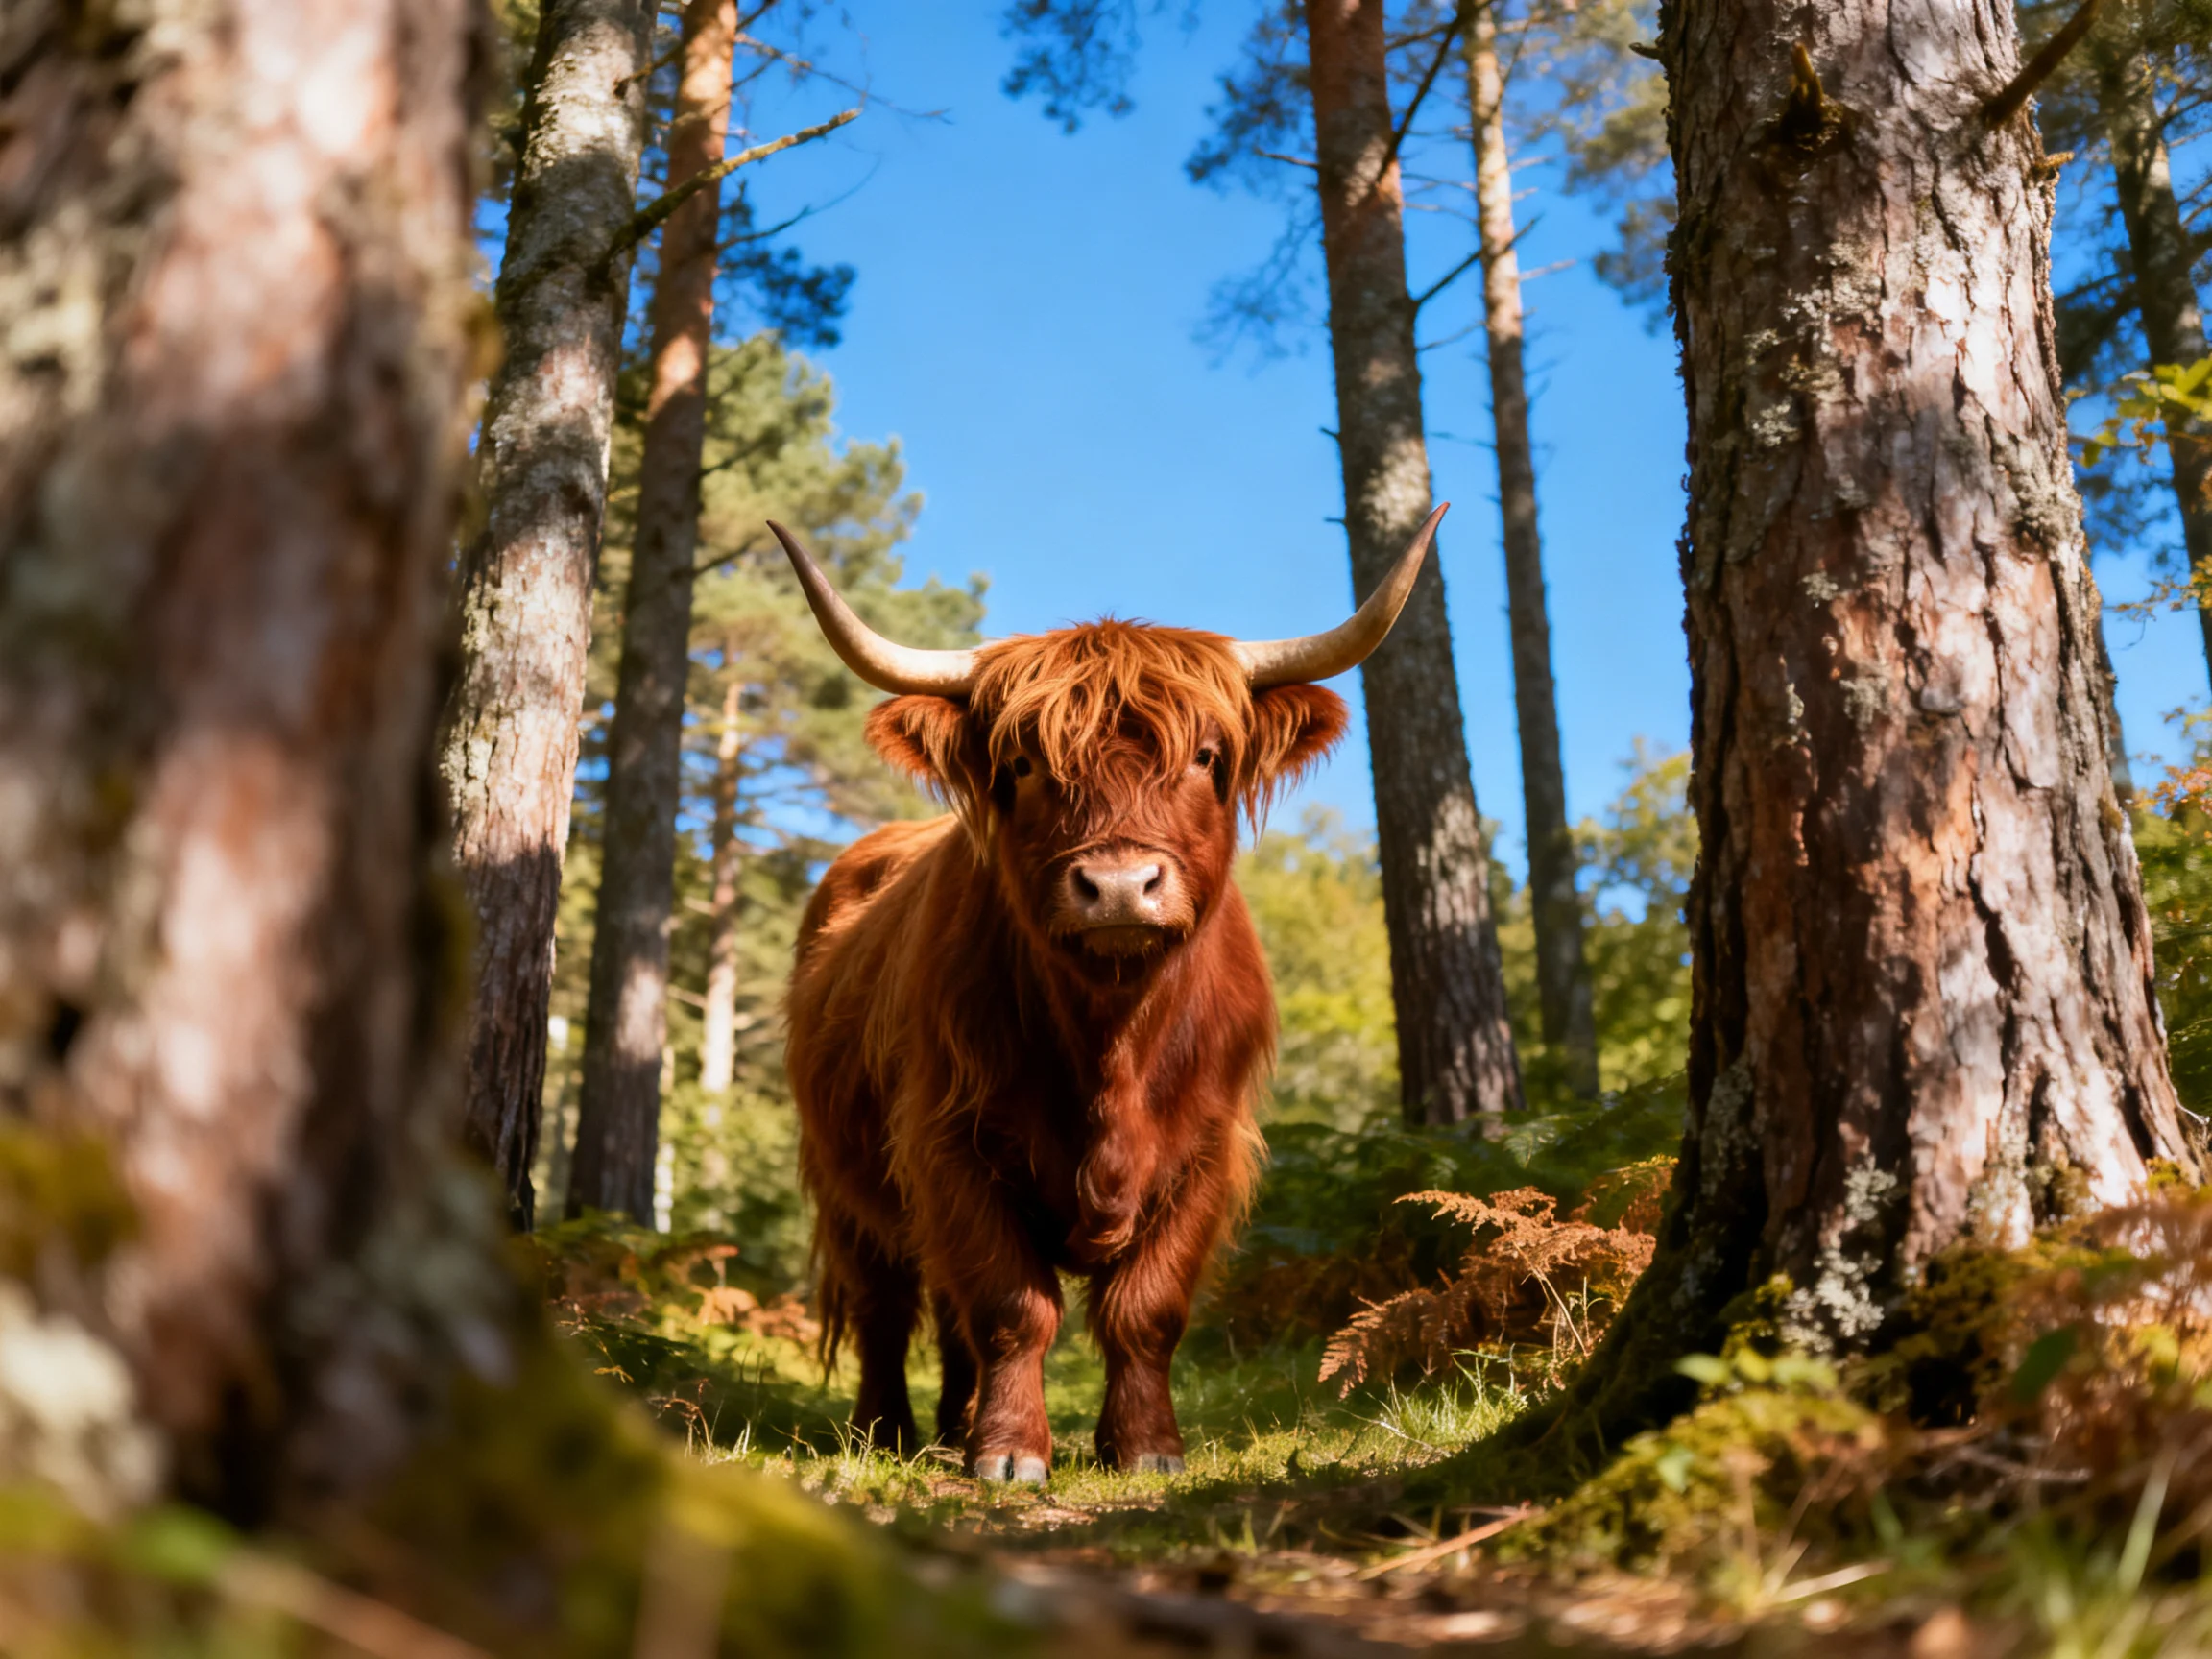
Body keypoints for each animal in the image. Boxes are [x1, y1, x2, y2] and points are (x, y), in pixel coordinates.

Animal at [774, 505, 1446, 1483]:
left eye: (1206, 756)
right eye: (1022, 763)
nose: (1122, 887)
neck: (1111, 1038)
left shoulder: (1206, 1148)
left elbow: (1145, 1311)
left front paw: (1143, 1447)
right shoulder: (948, 1138)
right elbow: (1013, 1305)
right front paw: (1010, 1453)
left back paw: (949, 1424)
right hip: (845, 1178)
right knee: (887, 1304)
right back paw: (887, 1430)